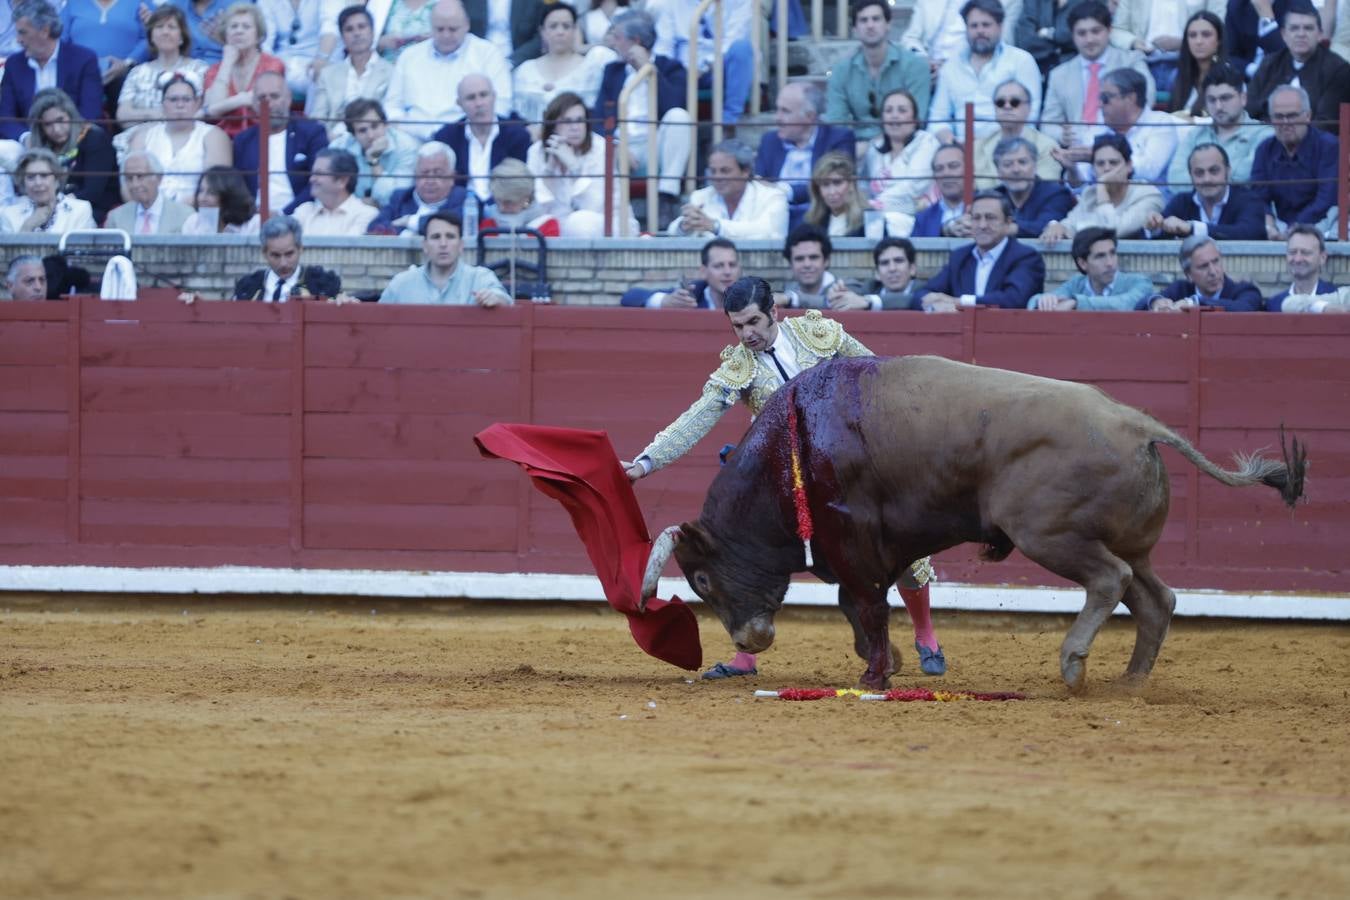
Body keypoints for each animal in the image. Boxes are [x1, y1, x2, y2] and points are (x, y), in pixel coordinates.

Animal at [642, 356, 1306, 696]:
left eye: (701, 580)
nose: (750, 639)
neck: (792, 450)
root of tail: (1141, 425)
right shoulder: (866, 552)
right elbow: (860, 609)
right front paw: (884, 665)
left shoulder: (853, 545)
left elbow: (867, 607)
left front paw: (877, 674)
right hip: (1130, 543)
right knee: (1156, 596)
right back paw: (1131, 681)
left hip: (1050, 535)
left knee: (1110, 581)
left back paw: (1073, 664)